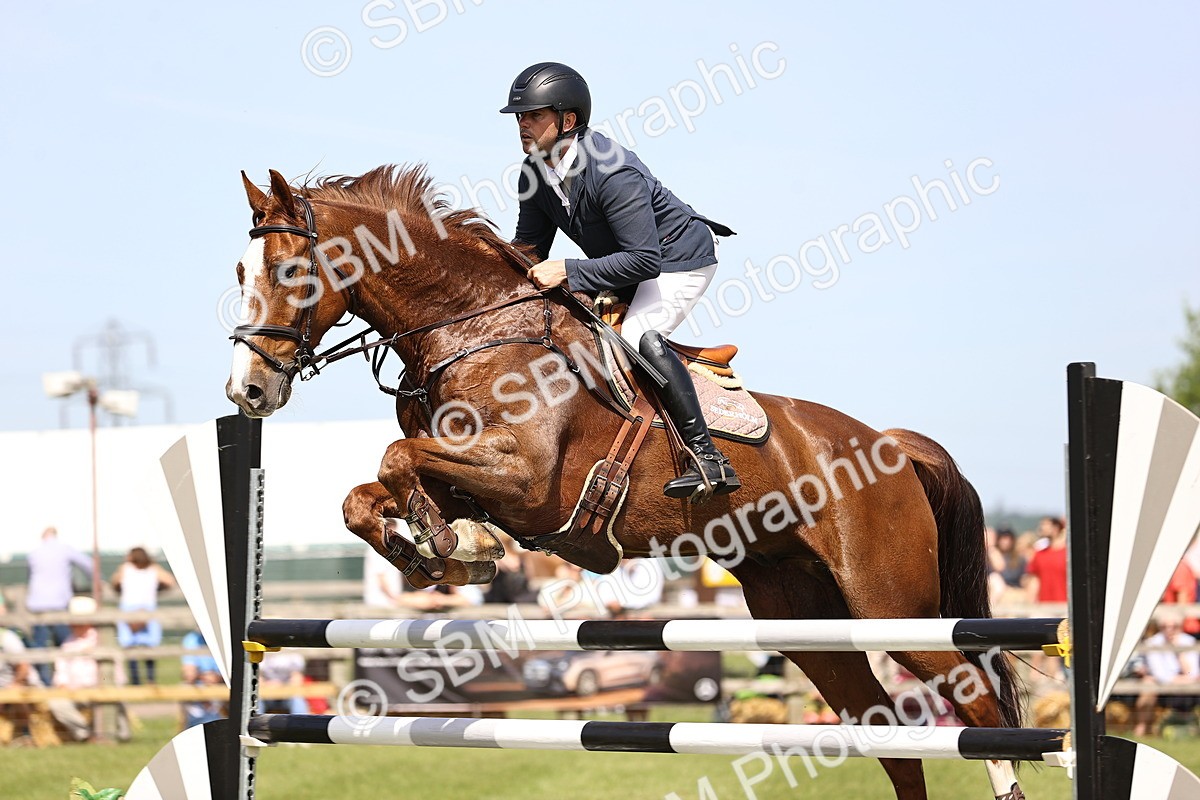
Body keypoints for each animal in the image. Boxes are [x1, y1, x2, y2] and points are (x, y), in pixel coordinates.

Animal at [226, 165, 1024, 800]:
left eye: (291, 273)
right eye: (239, 274)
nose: (248, 391)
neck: (471, 329)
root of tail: (893, 446)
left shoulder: (525, 481)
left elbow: (398, 458)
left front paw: (447, 547)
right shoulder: (473, 476)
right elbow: (368, 491)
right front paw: (437, 551)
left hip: (893, 607)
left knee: (977, 705)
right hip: (806, 619)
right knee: (886, 734)